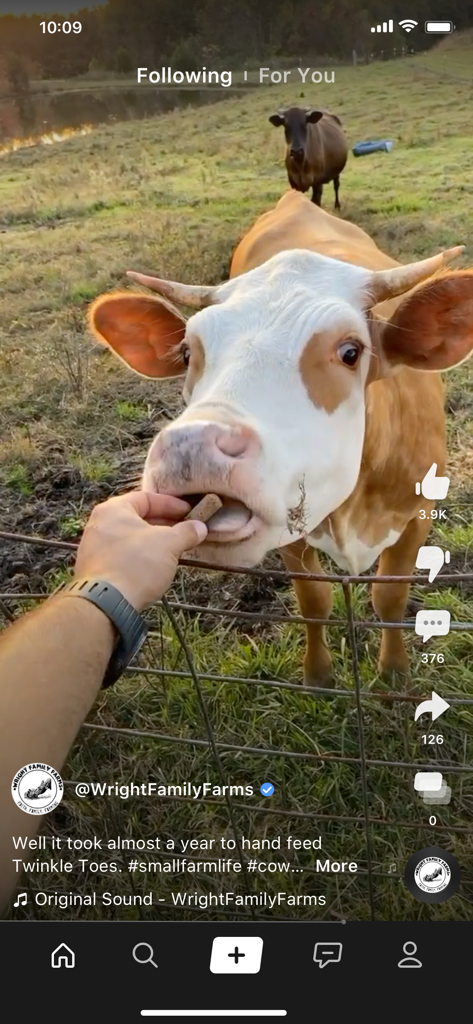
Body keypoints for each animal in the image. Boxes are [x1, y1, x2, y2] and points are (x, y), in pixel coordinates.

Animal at [89, 190, 472, 688]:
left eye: (351, 351)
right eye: (188, 352)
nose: (190, 448)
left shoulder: (419, 514)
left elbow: (389, 600)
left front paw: (393, 676)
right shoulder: (292, 526)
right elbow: (314, 601)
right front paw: (319, 676)